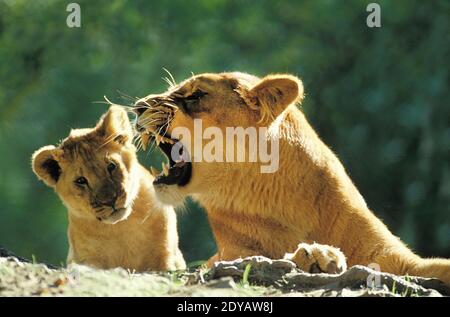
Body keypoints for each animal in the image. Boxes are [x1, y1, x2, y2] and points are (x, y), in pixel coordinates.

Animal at [31, 105, 185, 270]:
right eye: (81, 180)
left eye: (111, 166)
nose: (110, 201)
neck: (119, 228)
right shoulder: (85, 258)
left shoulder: (165, 255)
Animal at [133, 72, 450, 284]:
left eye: (196, 95)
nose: (138, 106)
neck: (287, 201)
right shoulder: (230, 255)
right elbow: (264, 258)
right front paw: (317, 256)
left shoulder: (395, 257)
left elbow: (436, 266)